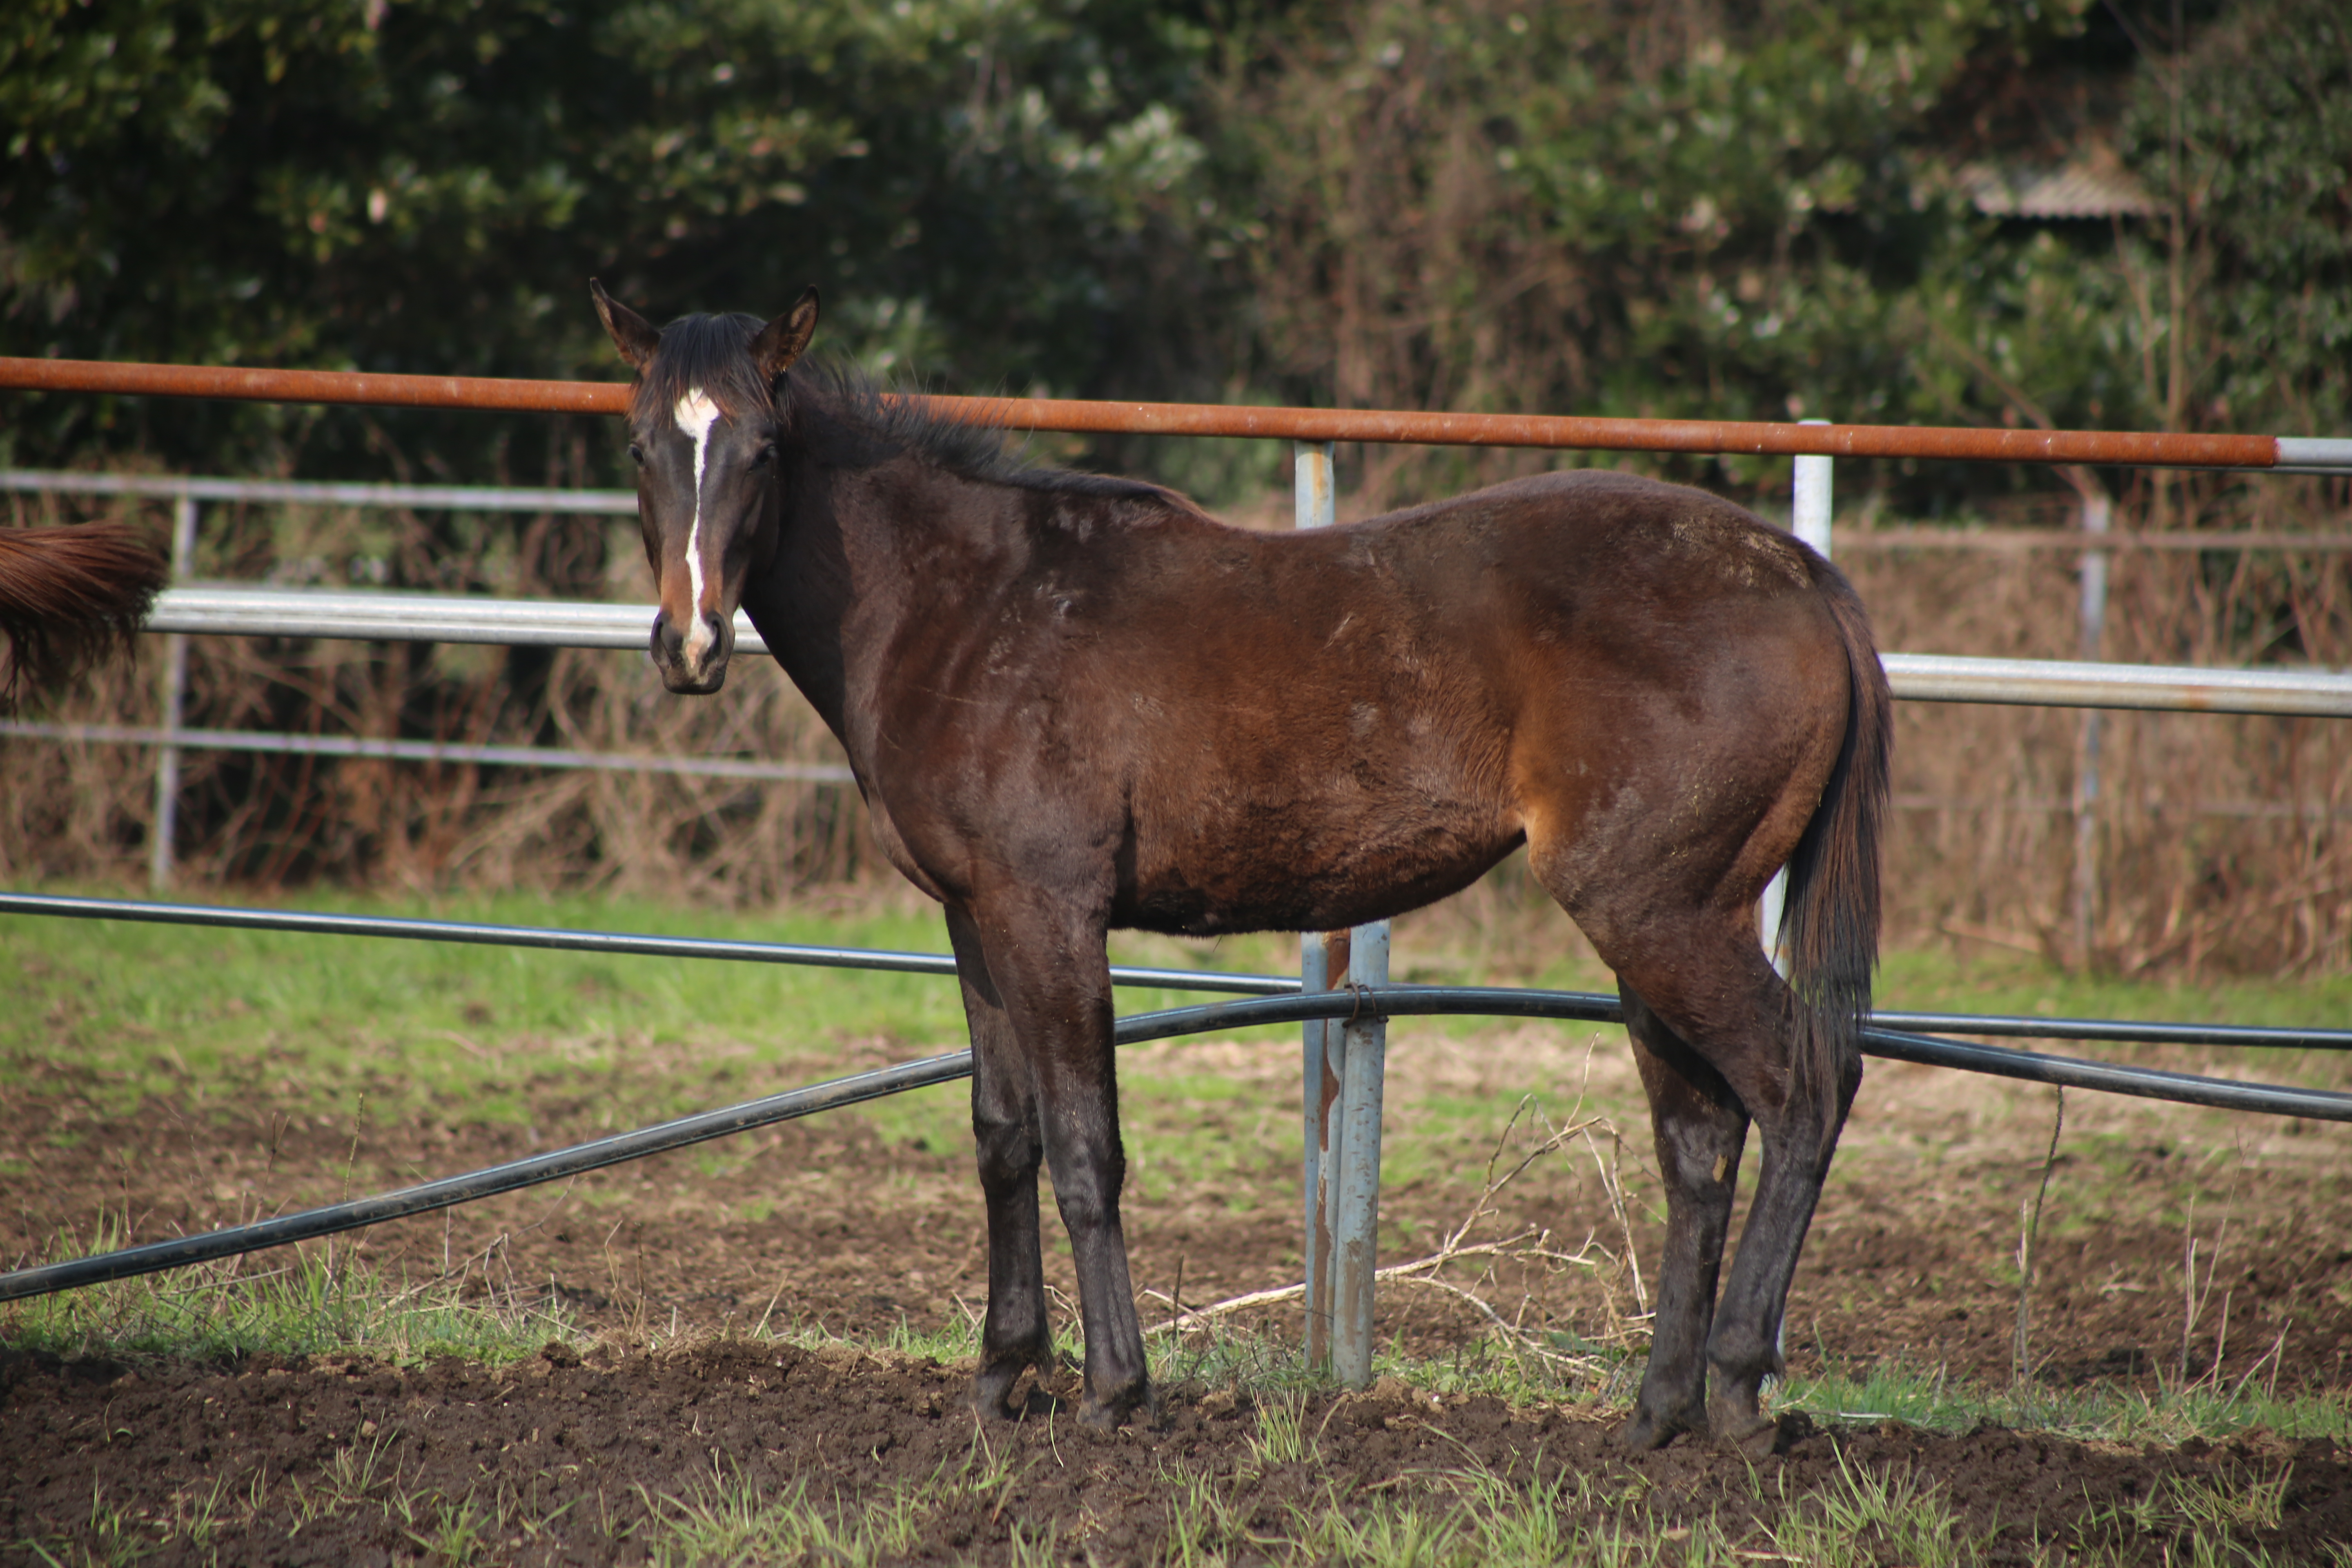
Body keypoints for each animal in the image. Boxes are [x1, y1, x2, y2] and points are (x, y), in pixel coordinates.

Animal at [588, 282, 1891, 1457]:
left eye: (762, 448)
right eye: (641, 445)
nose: (689, 645)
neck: (966, 606)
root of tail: (1795, 573)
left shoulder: (1050, 914)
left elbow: (1085, 1150)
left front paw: (1115, 1393)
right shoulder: (977, 920)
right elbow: (1004, 1134)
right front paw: (1002, 1375)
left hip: (1663, 917)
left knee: (1800, 1091)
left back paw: (1738, 1388)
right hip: (1656, 928)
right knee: (1700, 1145)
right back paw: (1656, 1412)